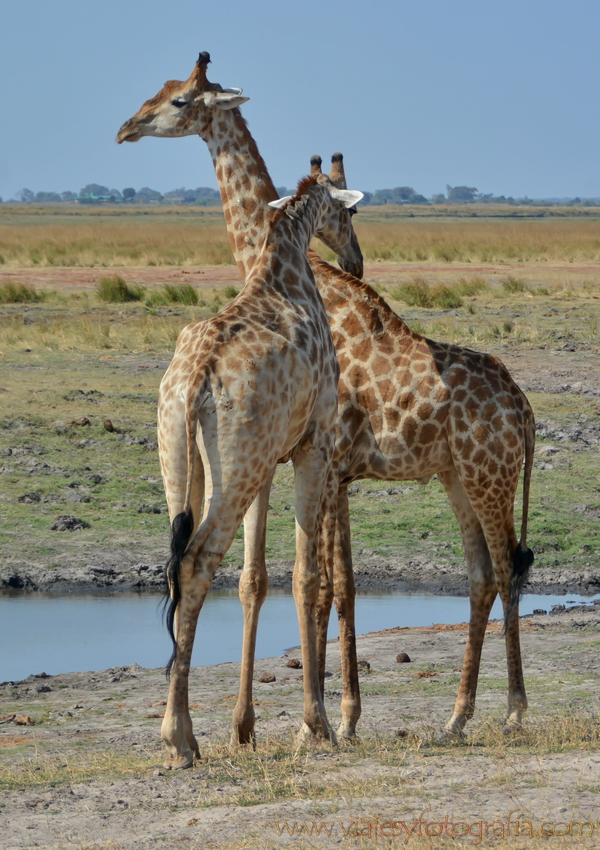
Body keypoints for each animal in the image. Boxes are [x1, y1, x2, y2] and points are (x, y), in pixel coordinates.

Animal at [116, 54, 360, 768]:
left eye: (177, 98)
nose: (126, 128)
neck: (277, 261)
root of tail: (195, 377)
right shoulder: (308, 446)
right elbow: (301, 576)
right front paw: (309, 725)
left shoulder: (273, 459)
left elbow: (262, 579)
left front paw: (250, 726)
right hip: (253, 467)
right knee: (200, 563)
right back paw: (183, 737)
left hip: (185, 460)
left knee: (179, 566)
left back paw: (185, 732)